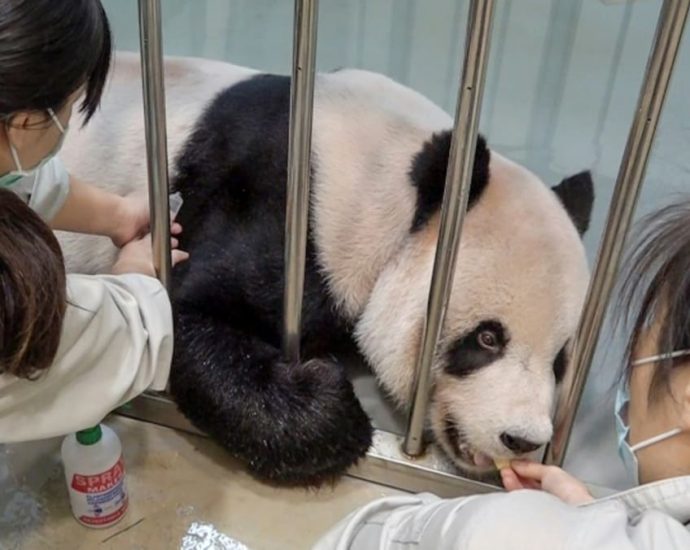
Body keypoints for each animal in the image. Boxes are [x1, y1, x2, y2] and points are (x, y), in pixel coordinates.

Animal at [59, 52, 592, 488]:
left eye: (560, 361)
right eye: (487, 338)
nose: (523, 439)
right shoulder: (284, 210)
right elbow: (183, 312)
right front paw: (332, 400)